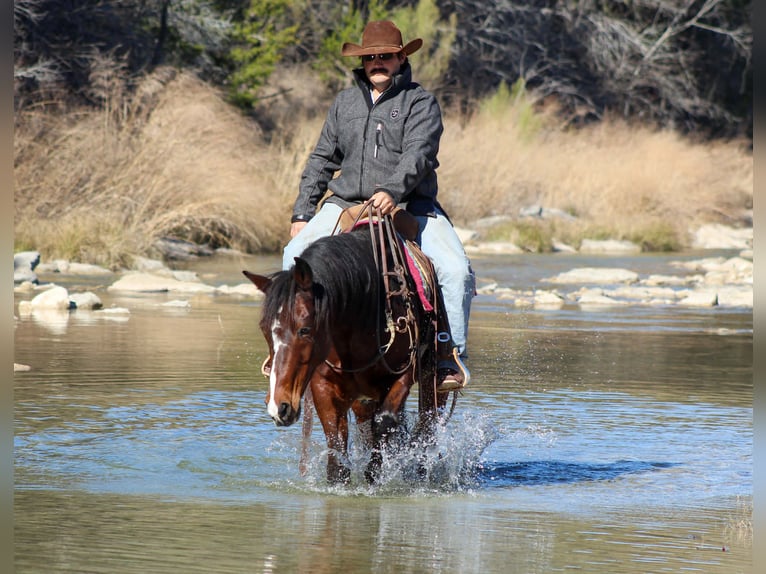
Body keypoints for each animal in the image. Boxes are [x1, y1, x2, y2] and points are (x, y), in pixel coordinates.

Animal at [243, 211, 453, 484]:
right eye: (264, 329)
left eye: (305, 329)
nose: (279, 406)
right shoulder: (323, 386)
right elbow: (337, 446)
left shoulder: (404, 374)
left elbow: (385, 423)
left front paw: (375, 476)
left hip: (431, 380)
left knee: (426, 423)